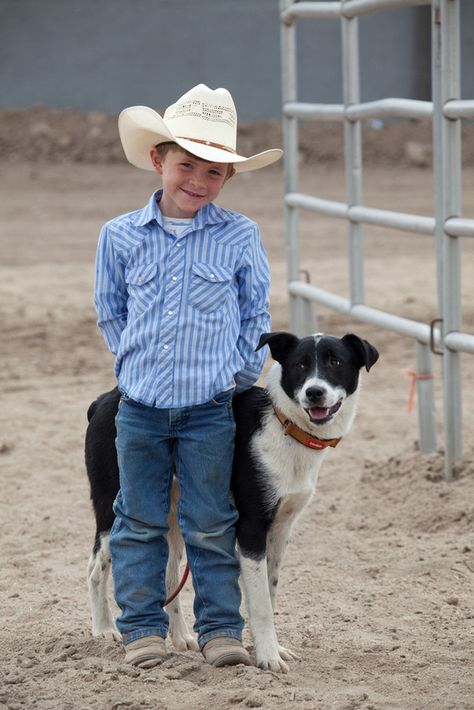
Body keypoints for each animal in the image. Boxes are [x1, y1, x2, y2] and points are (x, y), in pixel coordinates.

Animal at [86, 334, 378, 672]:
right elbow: (260, 603)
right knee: (95, 569)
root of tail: (102, 400)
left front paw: (273, 648)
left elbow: (269, 593)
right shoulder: (251, 528)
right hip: (115, 508)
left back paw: (180, 637)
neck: (284, 425)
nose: (314, 392)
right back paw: (104, 629)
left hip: (173, 518)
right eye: (300, 365)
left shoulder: (280, 530)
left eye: (335, 362)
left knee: (169, 577)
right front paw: (268, 657)